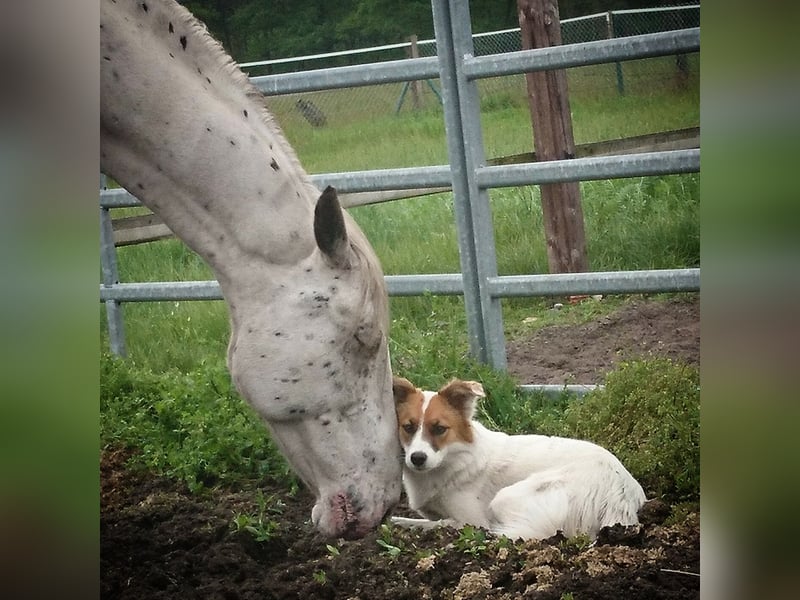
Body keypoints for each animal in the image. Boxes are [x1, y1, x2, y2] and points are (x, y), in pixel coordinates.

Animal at [390, 378, 648, 540]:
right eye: (408, 427)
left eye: (439, 429)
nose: (417, 458)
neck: (452, 460)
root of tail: (622, 498)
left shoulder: (473, 519)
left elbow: (442, 523)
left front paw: (404, 524)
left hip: (505, 497)